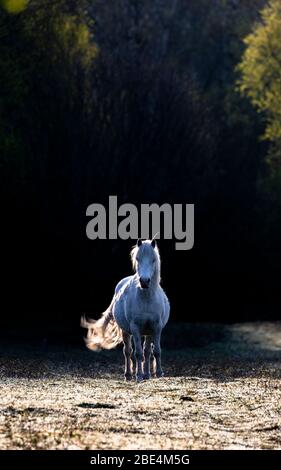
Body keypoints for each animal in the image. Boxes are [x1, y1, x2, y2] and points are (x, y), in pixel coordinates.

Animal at [81, 239, 168, 382]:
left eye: (153, 260)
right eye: (137, 259)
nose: (144, 281)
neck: (146, 299)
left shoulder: (156, 327)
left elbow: (156, 351)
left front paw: (159, 373)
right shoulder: (135, 327)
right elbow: (137, 353)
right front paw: (138, 375)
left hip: (148, 332)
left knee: (147, 352)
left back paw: (147, 374)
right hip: (126, 331)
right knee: (128, 351)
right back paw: (129, 374)